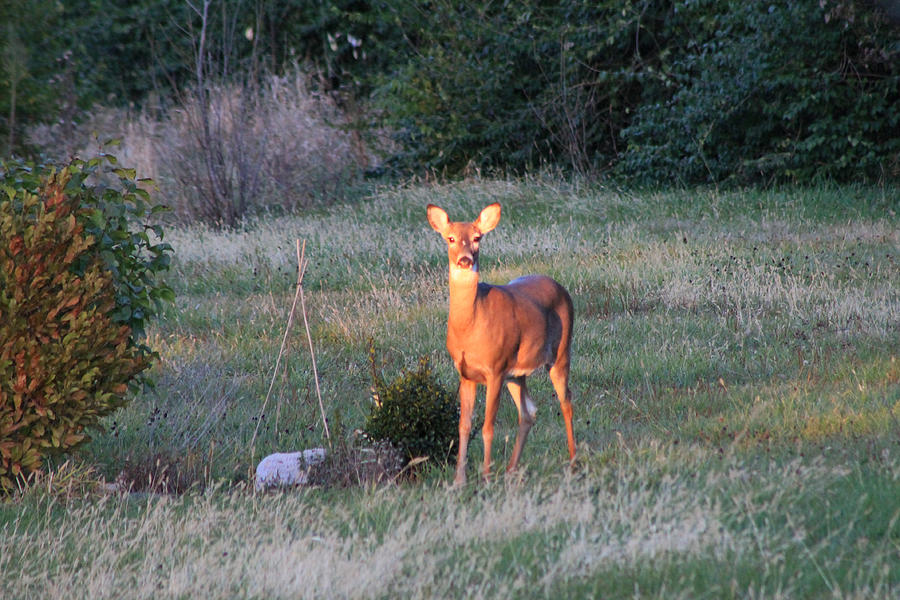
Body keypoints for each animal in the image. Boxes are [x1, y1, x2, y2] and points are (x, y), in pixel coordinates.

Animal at [428, 204, 576, 486]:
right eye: (450, 238)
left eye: (477, 238)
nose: (465, 260)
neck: (470, 326)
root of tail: (561, 287)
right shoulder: (465, 374)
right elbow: (464, 426)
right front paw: (459, 480)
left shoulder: (495, 369)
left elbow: (488, 427)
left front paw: (485, 477)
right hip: (517, 373)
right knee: (529, 412)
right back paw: (511, 470)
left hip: (561, 352)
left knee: (566, 401)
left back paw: (574, 460)